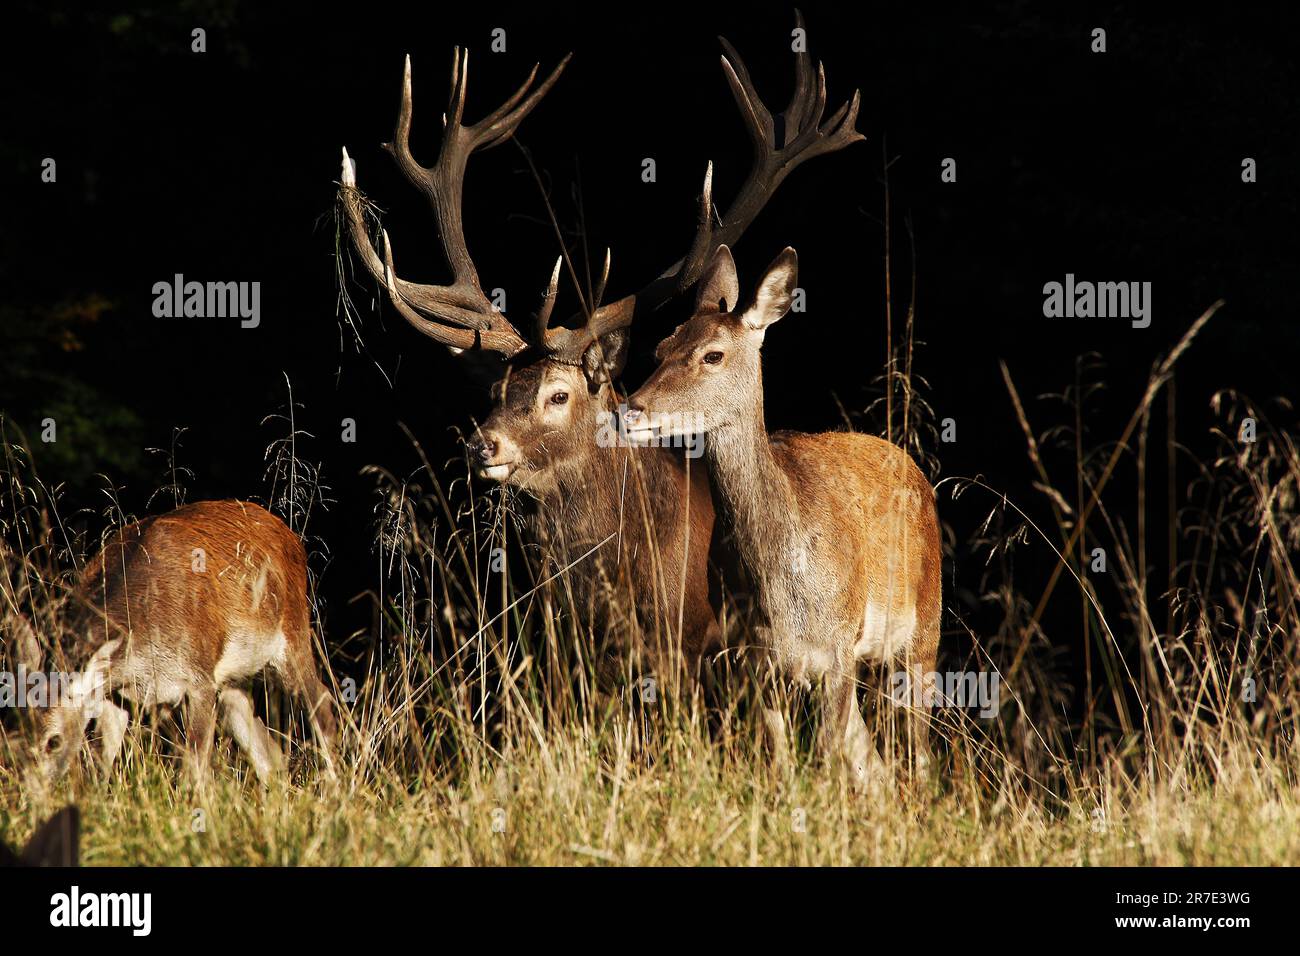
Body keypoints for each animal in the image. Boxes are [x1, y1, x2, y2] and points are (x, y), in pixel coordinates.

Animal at [17, 502, 338, 785]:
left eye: (54, 741)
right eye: (16, 728)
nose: (29, 790)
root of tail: (290, 536)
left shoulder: (199, 678)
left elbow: (194, 769)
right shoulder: (116, 695)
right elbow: (100, 764)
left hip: (292, 634)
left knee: (322, 703)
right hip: (232, 678)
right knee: (268, 748)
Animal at [624, 247, 941, 785]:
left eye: (712, 354)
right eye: (660, 348)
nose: (631, 410)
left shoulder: (838, 648)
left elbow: (829, 759)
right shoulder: (755, 658)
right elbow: (783, 761)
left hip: (925, 631)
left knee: (918, 756)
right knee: (874, 761)